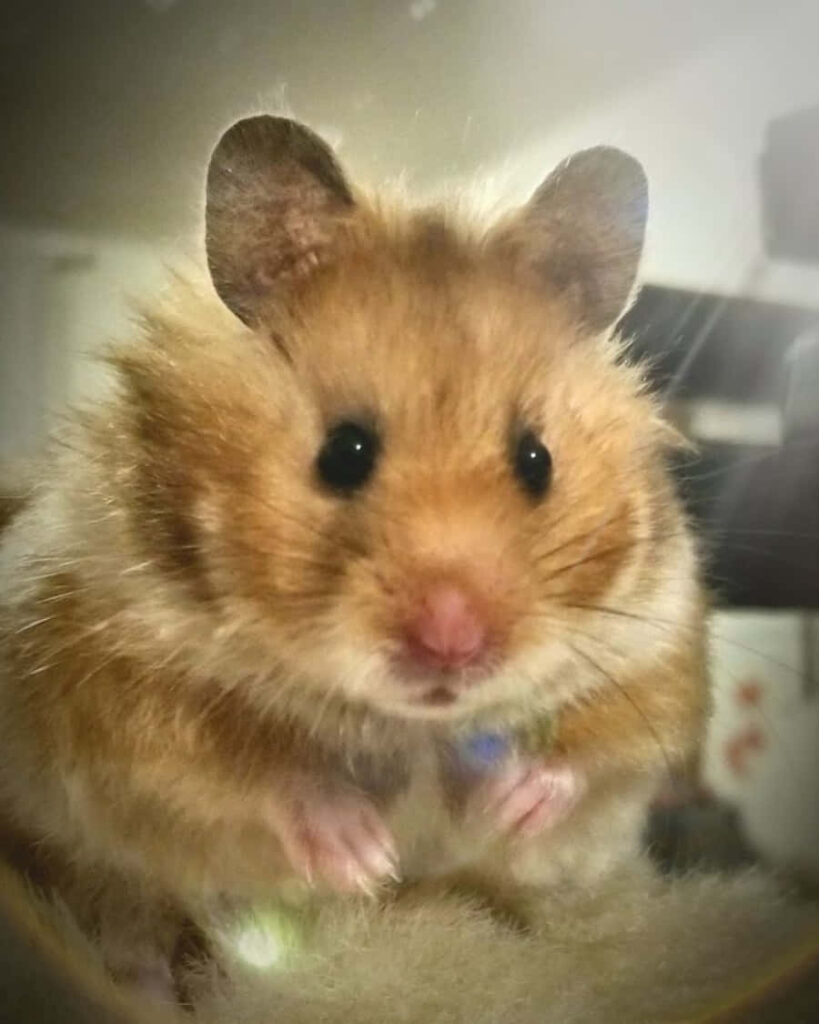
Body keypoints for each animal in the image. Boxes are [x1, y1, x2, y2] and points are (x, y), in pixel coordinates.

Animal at [0, 116, 708, 992]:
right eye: (344, 452)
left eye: (536, 460)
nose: (452, 642)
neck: (409, 727)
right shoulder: (104, 663)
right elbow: (236, 763)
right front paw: (365, 855)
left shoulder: (659, 640)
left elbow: (602, 740)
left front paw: (504, 805)